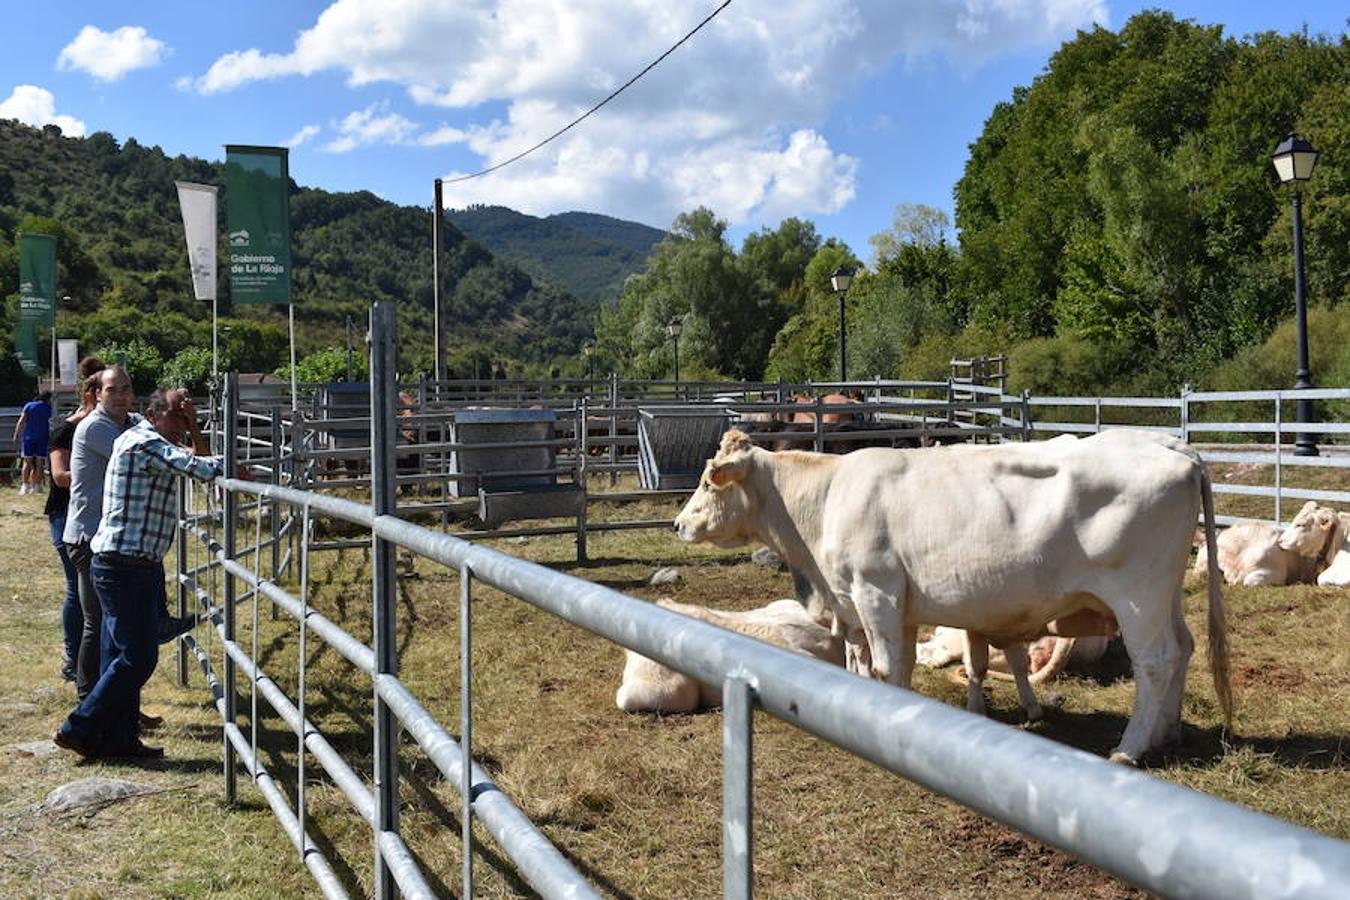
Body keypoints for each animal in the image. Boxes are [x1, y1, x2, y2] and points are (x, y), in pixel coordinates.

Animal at [675, 431, 1236, 766]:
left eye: (707, 480)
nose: (678, 524)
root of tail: (1177, 449)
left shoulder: (873, 590)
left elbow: (884, 666)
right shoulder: (893, 603)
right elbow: (897, 666)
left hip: (1137, 595)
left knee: (1156, 661)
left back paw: (1130, 748)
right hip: (1165, 596)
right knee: (1182, 650)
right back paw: (1167, 733)